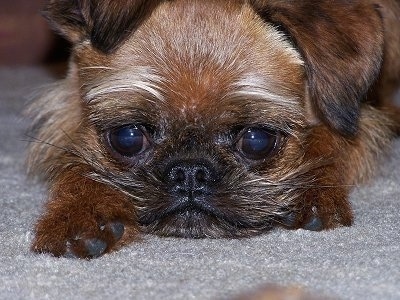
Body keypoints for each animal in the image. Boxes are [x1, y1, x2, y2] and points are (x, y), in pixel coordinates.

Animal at [26, 0, 398, 258]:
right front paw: (80, 211)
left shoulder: (351, 117)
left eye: (256, 140)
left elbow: (327, 141)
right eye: (127, 137)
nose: (190, 172)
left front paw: (314, 190)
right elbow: (79, 164)